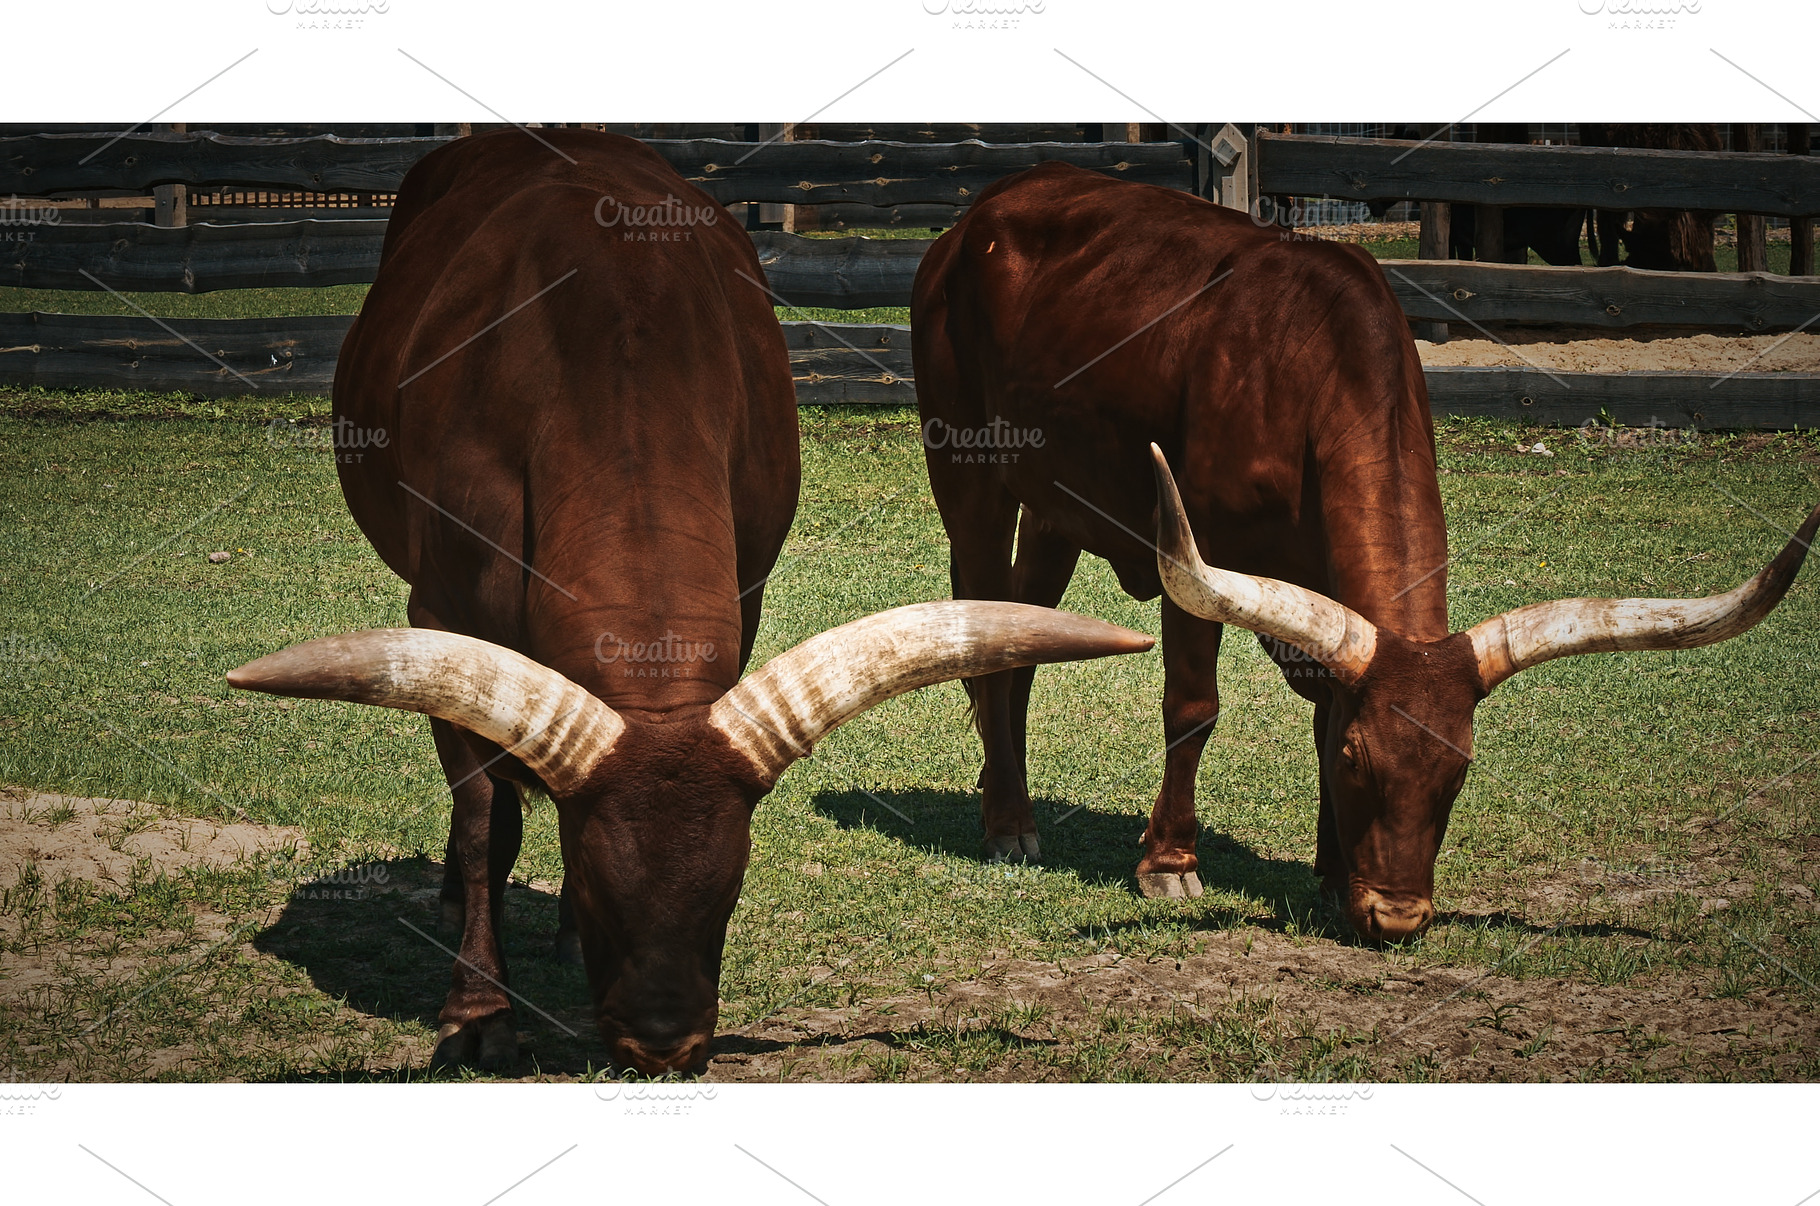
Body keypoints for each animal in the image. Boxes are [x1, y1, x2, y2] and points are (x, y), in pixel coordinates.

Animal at [227, 131, 1153, 1076]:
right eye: (593, 878)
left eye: (731, 886)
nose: (664, 1043)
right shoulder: (440, 613)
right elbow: (486, 818)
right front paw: (479, 1014)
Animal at [911, 161, 1818, 941]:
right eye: (1361, 765)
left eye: (1459, 771)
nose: (1398, 916)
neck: (1309, 369)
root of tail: (980, 212)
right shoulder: (1196, 559)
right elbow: (1192, 707)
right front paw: (1169, 863)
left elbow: (1321, 707)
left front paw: (1329, 870)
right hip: (970, 475)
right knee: (977, 618)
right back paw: (1007, 826)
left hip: (1059, 506)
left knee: (1020, 636)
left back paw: (1004, 798)